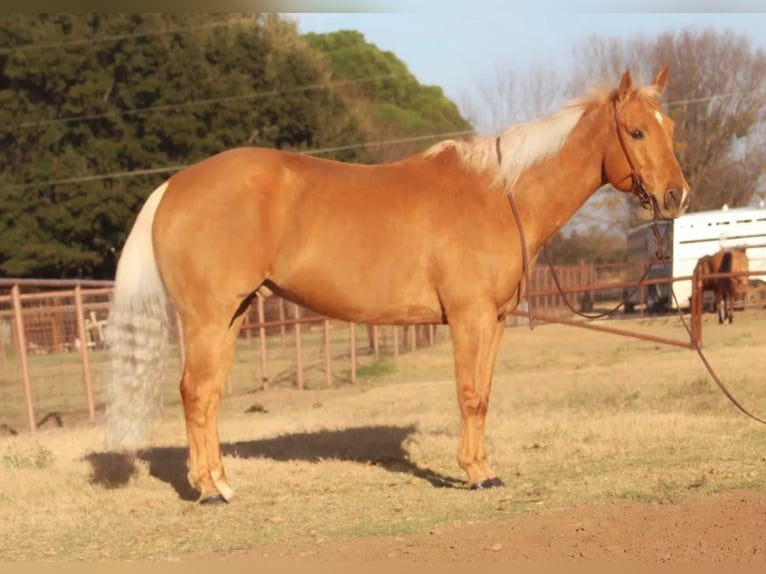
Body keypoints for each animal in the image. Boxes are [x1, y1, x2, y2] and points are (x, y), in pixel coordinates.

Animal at [106, 70, 688, 506]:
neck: (499, 195)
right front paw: (475, 475)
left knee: (208, 396)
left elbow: (484, 395)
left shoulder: (496, 321)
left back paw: (222, 483)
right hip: (206, 318)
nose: (676, 197)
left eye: (670, 128)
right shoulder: (470, 317)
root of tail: (174, 185)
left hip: (232, 316)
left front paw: (485, 468)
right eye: (635, 131)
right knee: (195, 392)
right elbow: (470, 395)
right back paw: (207, 490)